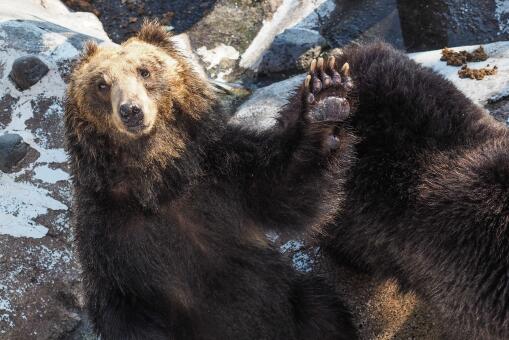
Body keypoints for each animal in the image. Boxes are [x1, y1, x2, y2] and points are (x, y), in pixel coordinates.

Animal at [64, 21, 358, 340]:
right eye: (102, 85)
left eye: (144, 71)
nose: (131, 110)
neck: (160, 180)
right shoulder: (107, 230)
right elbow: (121, 306)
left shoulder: (224, 172)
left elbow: (286, 190)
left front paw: (326, 94)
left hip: (293, 305)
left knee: (322, 310)